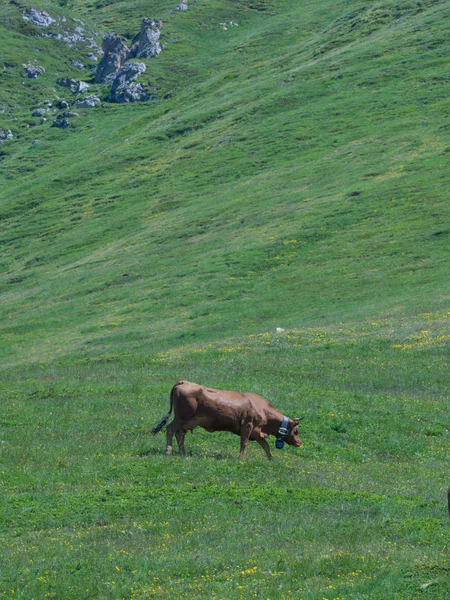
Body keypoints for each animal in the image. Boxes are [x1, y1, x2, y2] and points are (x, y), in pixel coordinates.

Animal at [151, 380, 302, 460]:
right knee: (170, 429)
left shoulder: (257, 432)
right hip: (180, 418)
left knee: (180, 434)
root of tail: (184, 382)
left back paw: (183, 453)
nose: (300, 443)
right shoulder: (247, 425)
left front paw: (271, 459)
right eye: (296, 430)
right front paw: (241, 459)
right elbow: (244, 443)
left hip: (187, 421)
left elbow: (266, 446)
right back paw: (168, 451)